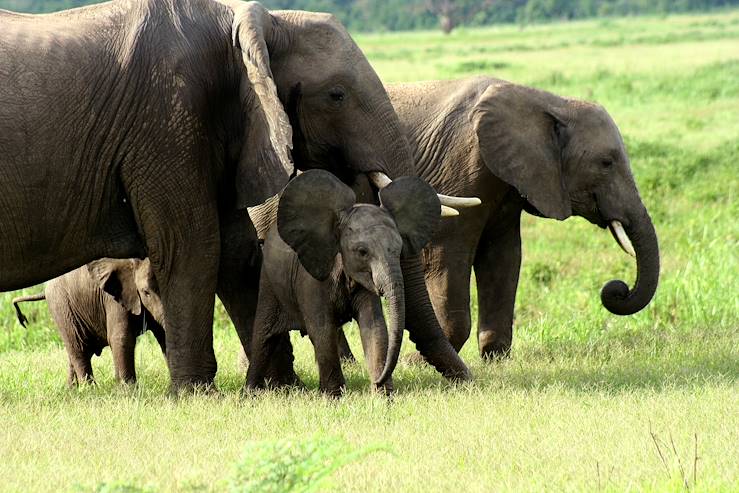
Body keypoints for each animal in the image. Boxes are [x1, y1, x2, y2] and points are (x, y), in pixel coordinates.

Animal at [12, 258, 165, 384]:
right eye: (146, 292)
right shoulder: (114, 297)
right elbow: (121, 338)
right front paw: (129, 393)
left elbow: (162, 334)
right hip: (61, 306)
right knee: (79, 350)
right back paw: (90, 391)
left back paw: (72, 391)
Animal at [249, 170, 442, 396]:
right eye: (362, 252)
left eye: (399, 249)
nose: (378, 380)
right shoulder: (311, 279)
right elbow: (322, 329)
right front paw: (334, 397)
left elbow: (374, 326)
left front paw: (383, 397)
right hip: (269, 281)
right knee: (262, 337)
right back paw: (249, 392)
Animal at [358, 79, 660, 360]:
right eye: (606, 163)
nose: (616, 289)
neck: (551, 102)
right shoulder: (459, 167)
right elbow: (446, 256)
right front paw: (419, 362)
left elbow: (503, 256)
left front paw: (494, 357)